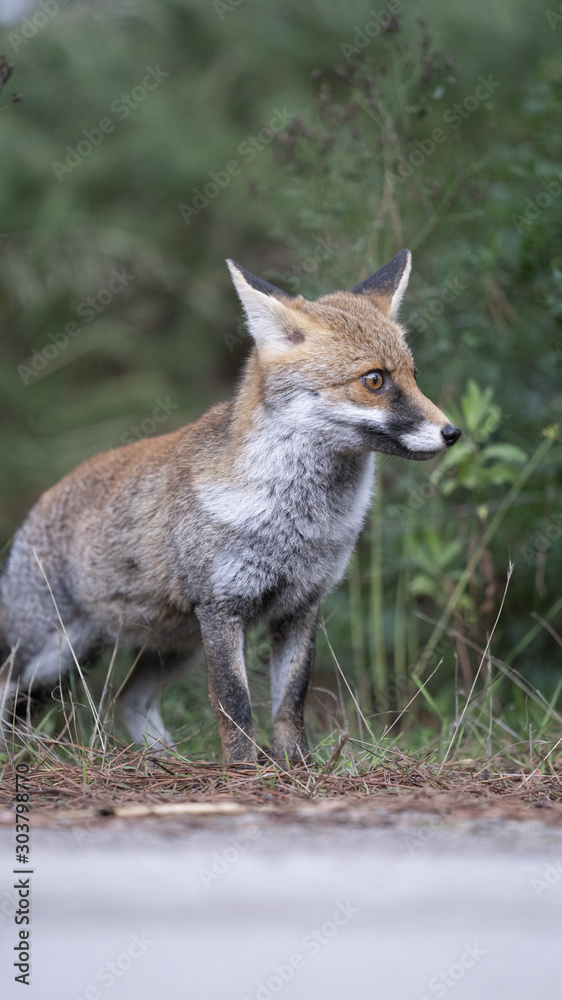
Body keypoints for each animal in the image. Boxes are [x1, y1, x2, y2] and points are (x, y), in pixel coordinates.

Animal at [0, 252, 460, 764]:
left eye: (414, 376)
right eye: (374, 380)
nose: (452, 432)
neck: (297, 523)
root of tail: (41, 501)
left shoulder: (300, 607)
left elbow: (290, 702)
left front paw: (298, 767)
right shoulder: (222, 608)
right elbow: (234, 703)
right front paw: (243, 770)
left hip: (172, 648)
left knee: (128, 701)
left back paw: (167, 763)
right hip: (51, 652)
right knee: (11, 690)